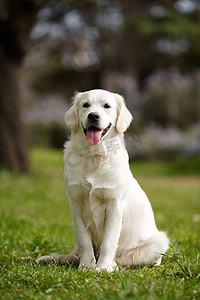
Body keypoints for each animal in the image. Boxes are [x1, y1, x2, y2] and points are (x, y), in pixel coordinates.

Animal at [37, 89, 169, 272]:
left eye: (107, 106)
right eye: (86, 105)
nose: (93, 116)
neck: (94, 156)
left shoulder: (115, 205)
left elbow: (109, 241)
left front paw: (103, 268)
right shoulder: (75, 203)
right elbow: (85, 241)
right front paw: (86, 266)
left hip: (158, 242)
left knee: (124, 259)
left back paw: (112, 264)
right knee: (74, 254)